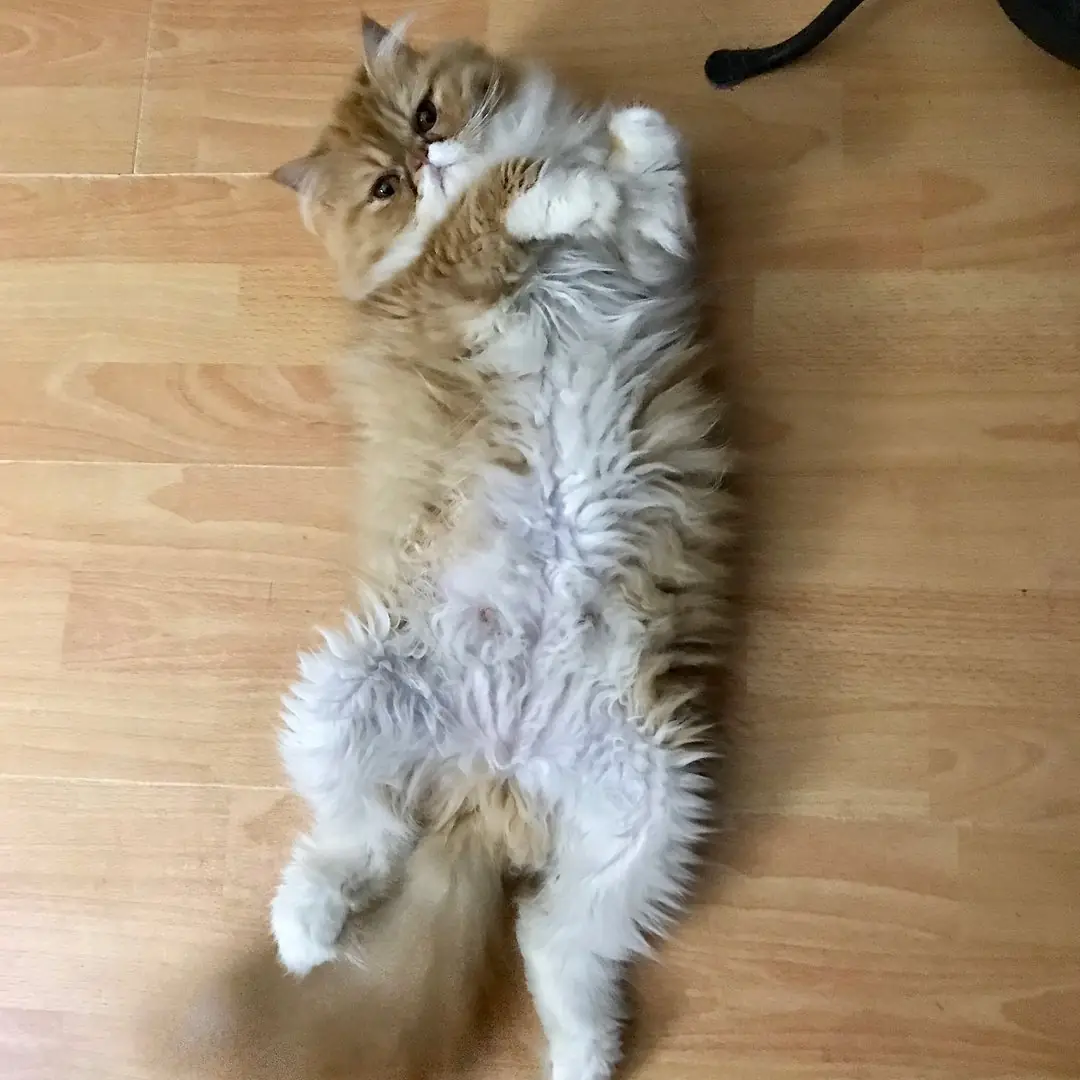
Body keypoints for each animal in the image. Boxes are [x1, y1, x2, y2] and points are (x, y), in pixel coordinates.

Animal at [268, 17, 732, 1080]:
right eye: (384, 188)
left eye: (425, 115)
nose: (428, 160)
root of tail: (497, 780)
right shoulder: (444, 281)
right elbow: (498, 206)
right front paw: (569, 182)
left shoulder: (652, 260)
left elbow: (653, 190)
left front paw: (628, 141)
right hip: (341, 691)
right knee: (361, 839)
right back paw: (303, 929)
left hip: (652, 805)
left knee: (554, 941)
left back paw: (583, 1055)